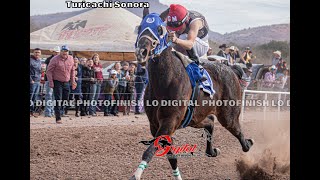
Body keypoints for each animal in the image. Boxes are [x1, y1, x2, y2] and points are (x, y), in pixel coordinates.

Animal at [129, 8, 254, 180]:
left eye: (160, 29)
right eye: (140, 27)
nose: (141, 52)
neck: (165, 81)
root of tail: (232, 69)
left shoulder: (170, 121)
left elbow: (150, 151)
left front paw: (136, 174)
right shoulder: (155, 125)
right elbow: (171, 156)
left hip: (228, 115)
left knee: (239, 133)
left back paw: (248, 144)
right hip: (194, 118)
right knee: (210, 122)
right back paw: (212, 150)